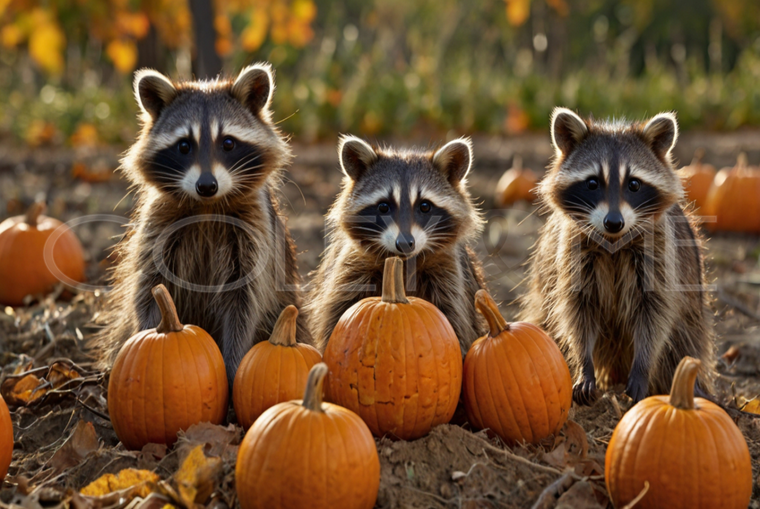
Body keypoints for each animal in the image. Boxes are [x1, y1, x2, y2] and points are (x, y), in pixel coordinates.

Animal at [95, 64, 311, 386]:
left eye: (228, 143)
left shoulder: (255, 234)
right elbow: (149, 289)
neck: (207, 207)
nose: (206, 185)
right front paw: (147, 335)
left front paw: (233, 366)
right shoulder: (158, 226)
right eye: (184, 145)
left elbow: (245, 302)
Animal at [305, 136, 488, 355]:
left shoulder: (450, 273)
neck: (403, 263)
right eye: (383, 206)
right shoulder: (351, 267)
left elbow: (455, 318)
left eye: (424, 206)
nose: (405, 243)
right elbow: (336, 314)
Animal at [520, 108, 714, 405]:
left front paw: (642, 366)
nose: (613, 222)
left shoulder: (660, 252)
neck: (613, 241)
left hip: (692, 321)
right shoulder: (571, 254)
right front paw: (584, 364)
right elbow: (577, 309)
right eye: (592, 183)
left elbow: (656, 311)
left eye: (633, 184)